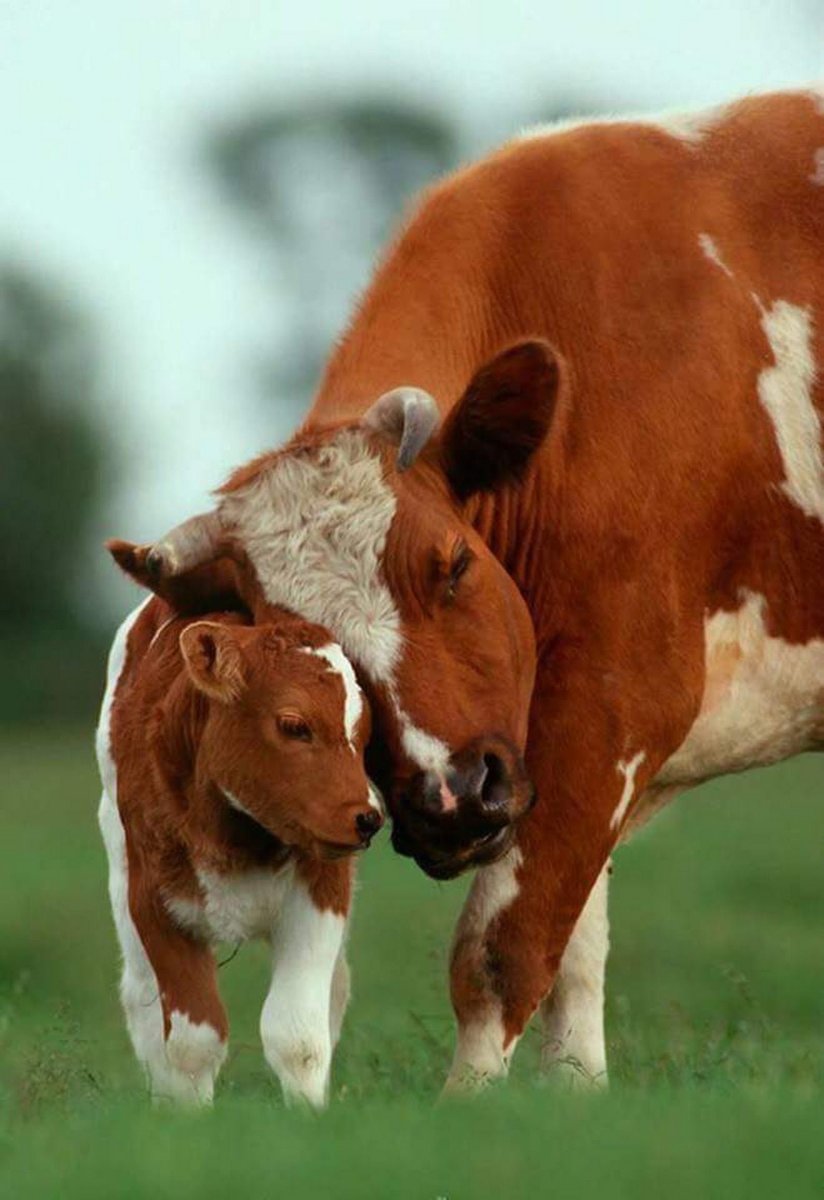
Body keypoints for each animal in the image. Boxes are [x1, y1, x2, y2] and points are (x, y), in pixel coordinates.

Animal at [95, 541, 381, 1107]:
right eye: (294, 725)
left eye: (362, 732)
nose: (366, 819)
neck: (234, 835)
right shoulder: (153, 903)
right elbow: (193, 1041)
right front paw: (189, 1116)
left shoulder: (320, 898)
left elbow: (297, 1035)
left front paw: (310, 1115)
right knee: (140, 998)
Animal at [133, 87, 824, 1092]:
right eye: (298, 637)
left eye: (454, 562)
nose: (450, 796)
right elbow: (574, 955)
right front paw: (571, 1098)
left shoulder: (616, 702)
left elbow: (503, 952)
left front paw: (470, 1110)